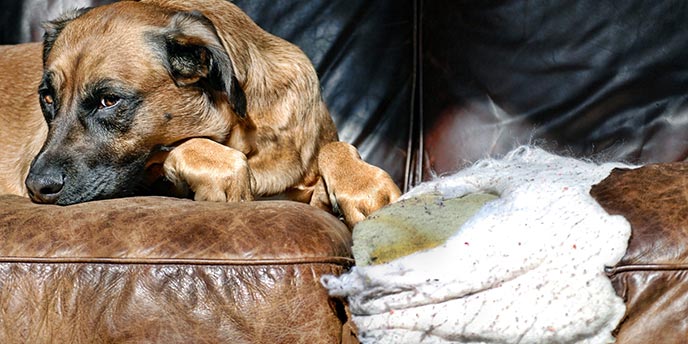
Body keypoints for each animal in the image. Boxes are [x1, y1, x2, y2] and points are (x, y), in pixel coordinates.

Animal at [0, 0, 398, 227]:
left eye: (109, 101)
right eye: (47, 98)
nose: (36, 187)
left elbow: (335, 147)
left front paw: (361, 185)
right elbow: (198, 152)